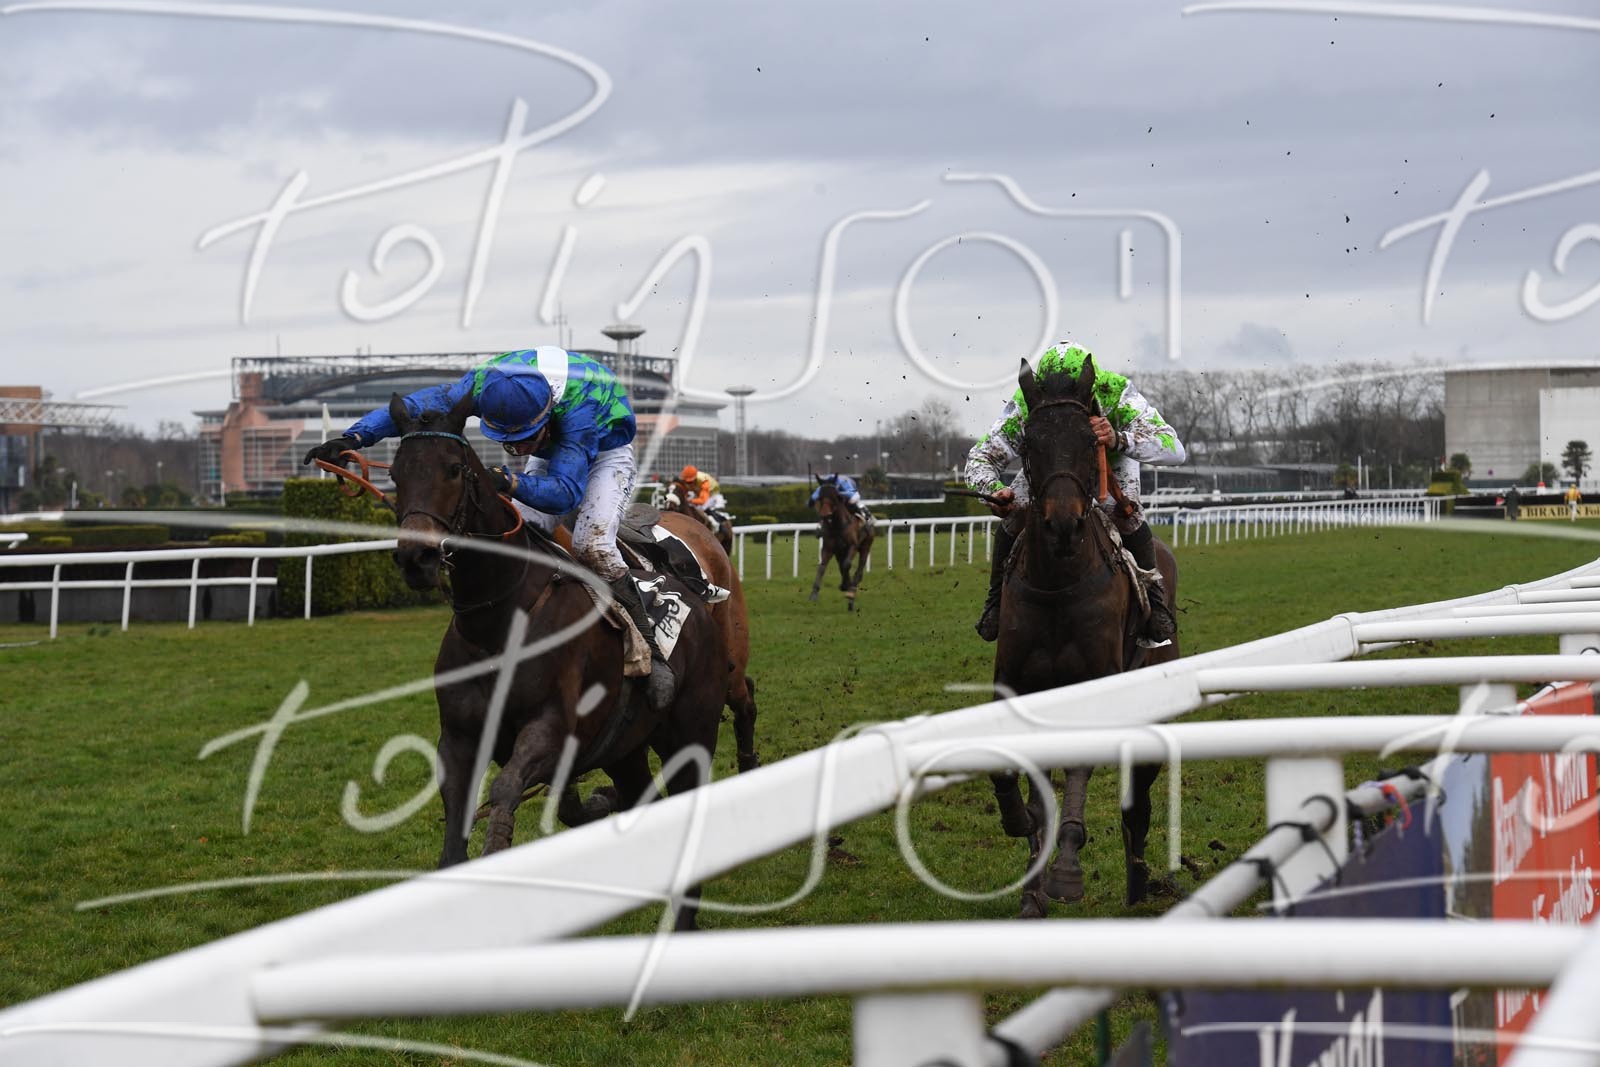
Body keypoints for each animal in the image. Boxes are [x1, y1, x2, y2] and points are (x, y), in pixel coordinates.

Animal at [385, 391, 730, 929]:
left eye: (453, 470)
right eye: (395, 473)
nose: (415, 558)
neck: (500, 625)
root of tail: (693, 591)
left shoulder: (552, 727)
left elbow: (507, 788)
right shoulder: (460, 738)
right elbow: (461, 819)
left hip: (692, 729)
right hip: (627, 745)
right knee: (639, 792)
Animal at [808, 479, 874, 611]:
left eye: (834, 498)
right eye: (820, 498)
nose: (825, 516)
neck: (837, 525)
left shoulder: (852, 545)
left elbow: (847, 564)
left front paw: (848, 588)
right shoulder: (828, 548)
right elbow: (822, 567)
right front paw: (814, 593)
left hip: (866, 546)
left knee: (858, 571)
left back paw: (851, 594)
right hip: (839, 552)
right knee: (842, 566)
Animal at [989, 355, 1181, 919]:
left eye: (1084, 438)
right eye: (1029, 441)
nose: (1062, 525)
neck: (1058, 583)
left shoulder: (1095, 684)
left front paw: (1067, 872)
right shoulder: (1015, 683)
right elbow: (1015, 776)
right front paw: (1024, 837)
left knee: (1138, 804)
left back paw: (1139, 883)